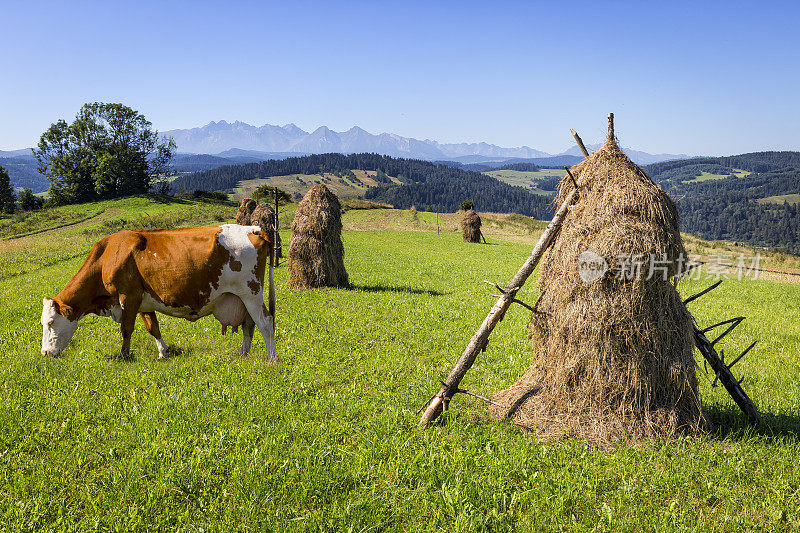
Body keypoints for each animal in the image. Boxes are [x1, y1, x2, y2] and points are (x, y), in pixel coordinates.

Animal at [41, 222, 278, 360]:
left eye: (51, 323)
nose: (44, 353)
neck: (109, 255)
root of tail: (253, 228)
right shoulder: (144, 301)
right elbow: (152, 327)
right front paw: (163, 352)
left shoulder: (128, 297)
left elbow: (126, 329)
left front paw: (123, 356)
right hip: (242, 298)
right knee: (249, 325)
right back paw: (244, 354)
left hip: (251, 293)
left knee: (265, 322)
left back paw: (272, 358)